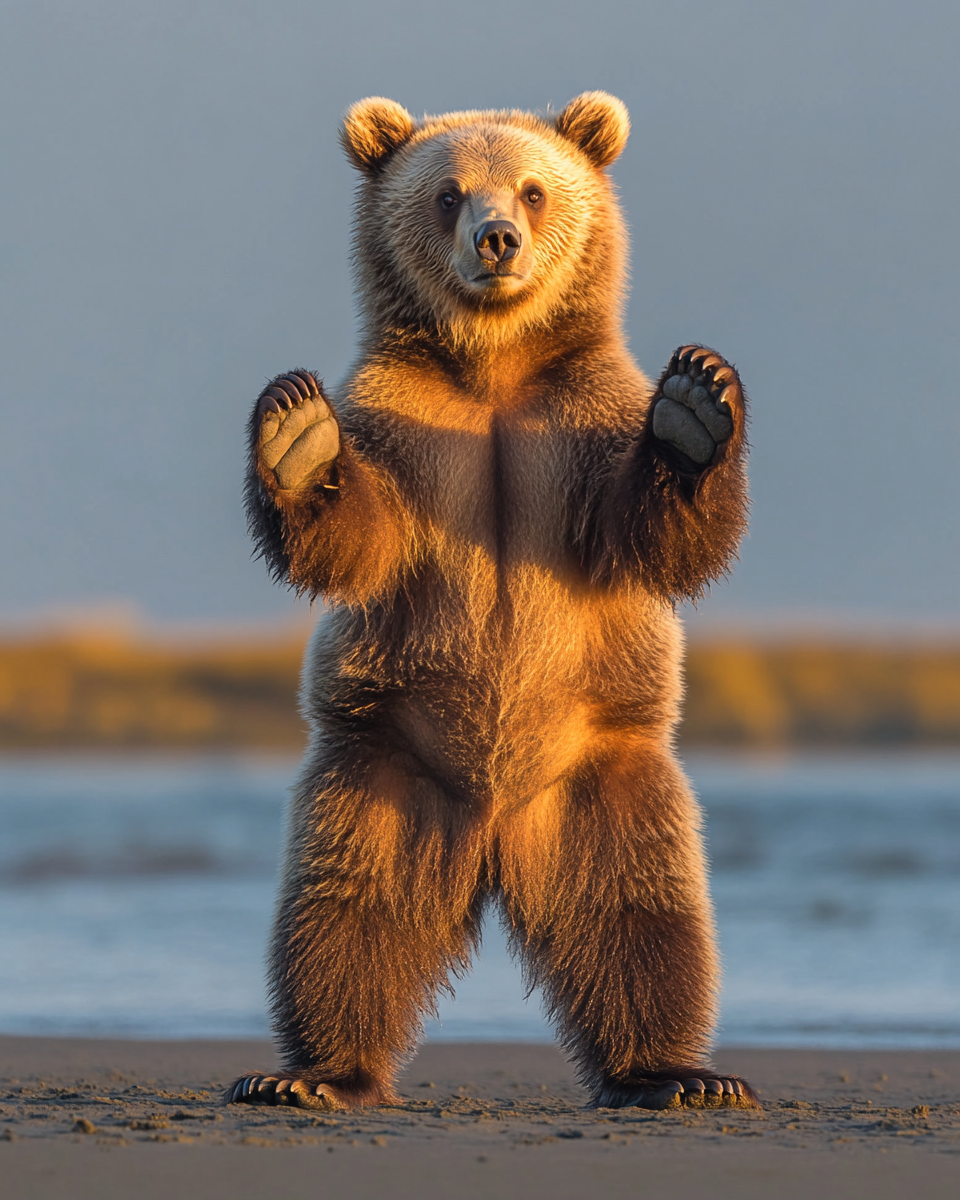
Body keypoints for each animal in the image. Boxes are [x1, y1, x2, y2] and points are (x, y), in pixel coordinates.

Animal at [226, 93, 758, 1113]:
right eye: (447, 193)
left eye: (535, 188)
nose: (498, 238)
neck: (495, 370)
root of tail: (495, 836)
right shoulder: (402, 430)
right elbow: (358, 542)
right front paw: (299, 434)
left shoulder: (578, 426)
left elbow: (650, 535)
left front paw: (696, 405)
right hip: (380, 772)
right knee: (343, 912)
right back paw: (313, 1073)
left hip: (605, 781)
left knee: (642, 914)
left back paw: (674, 1073)